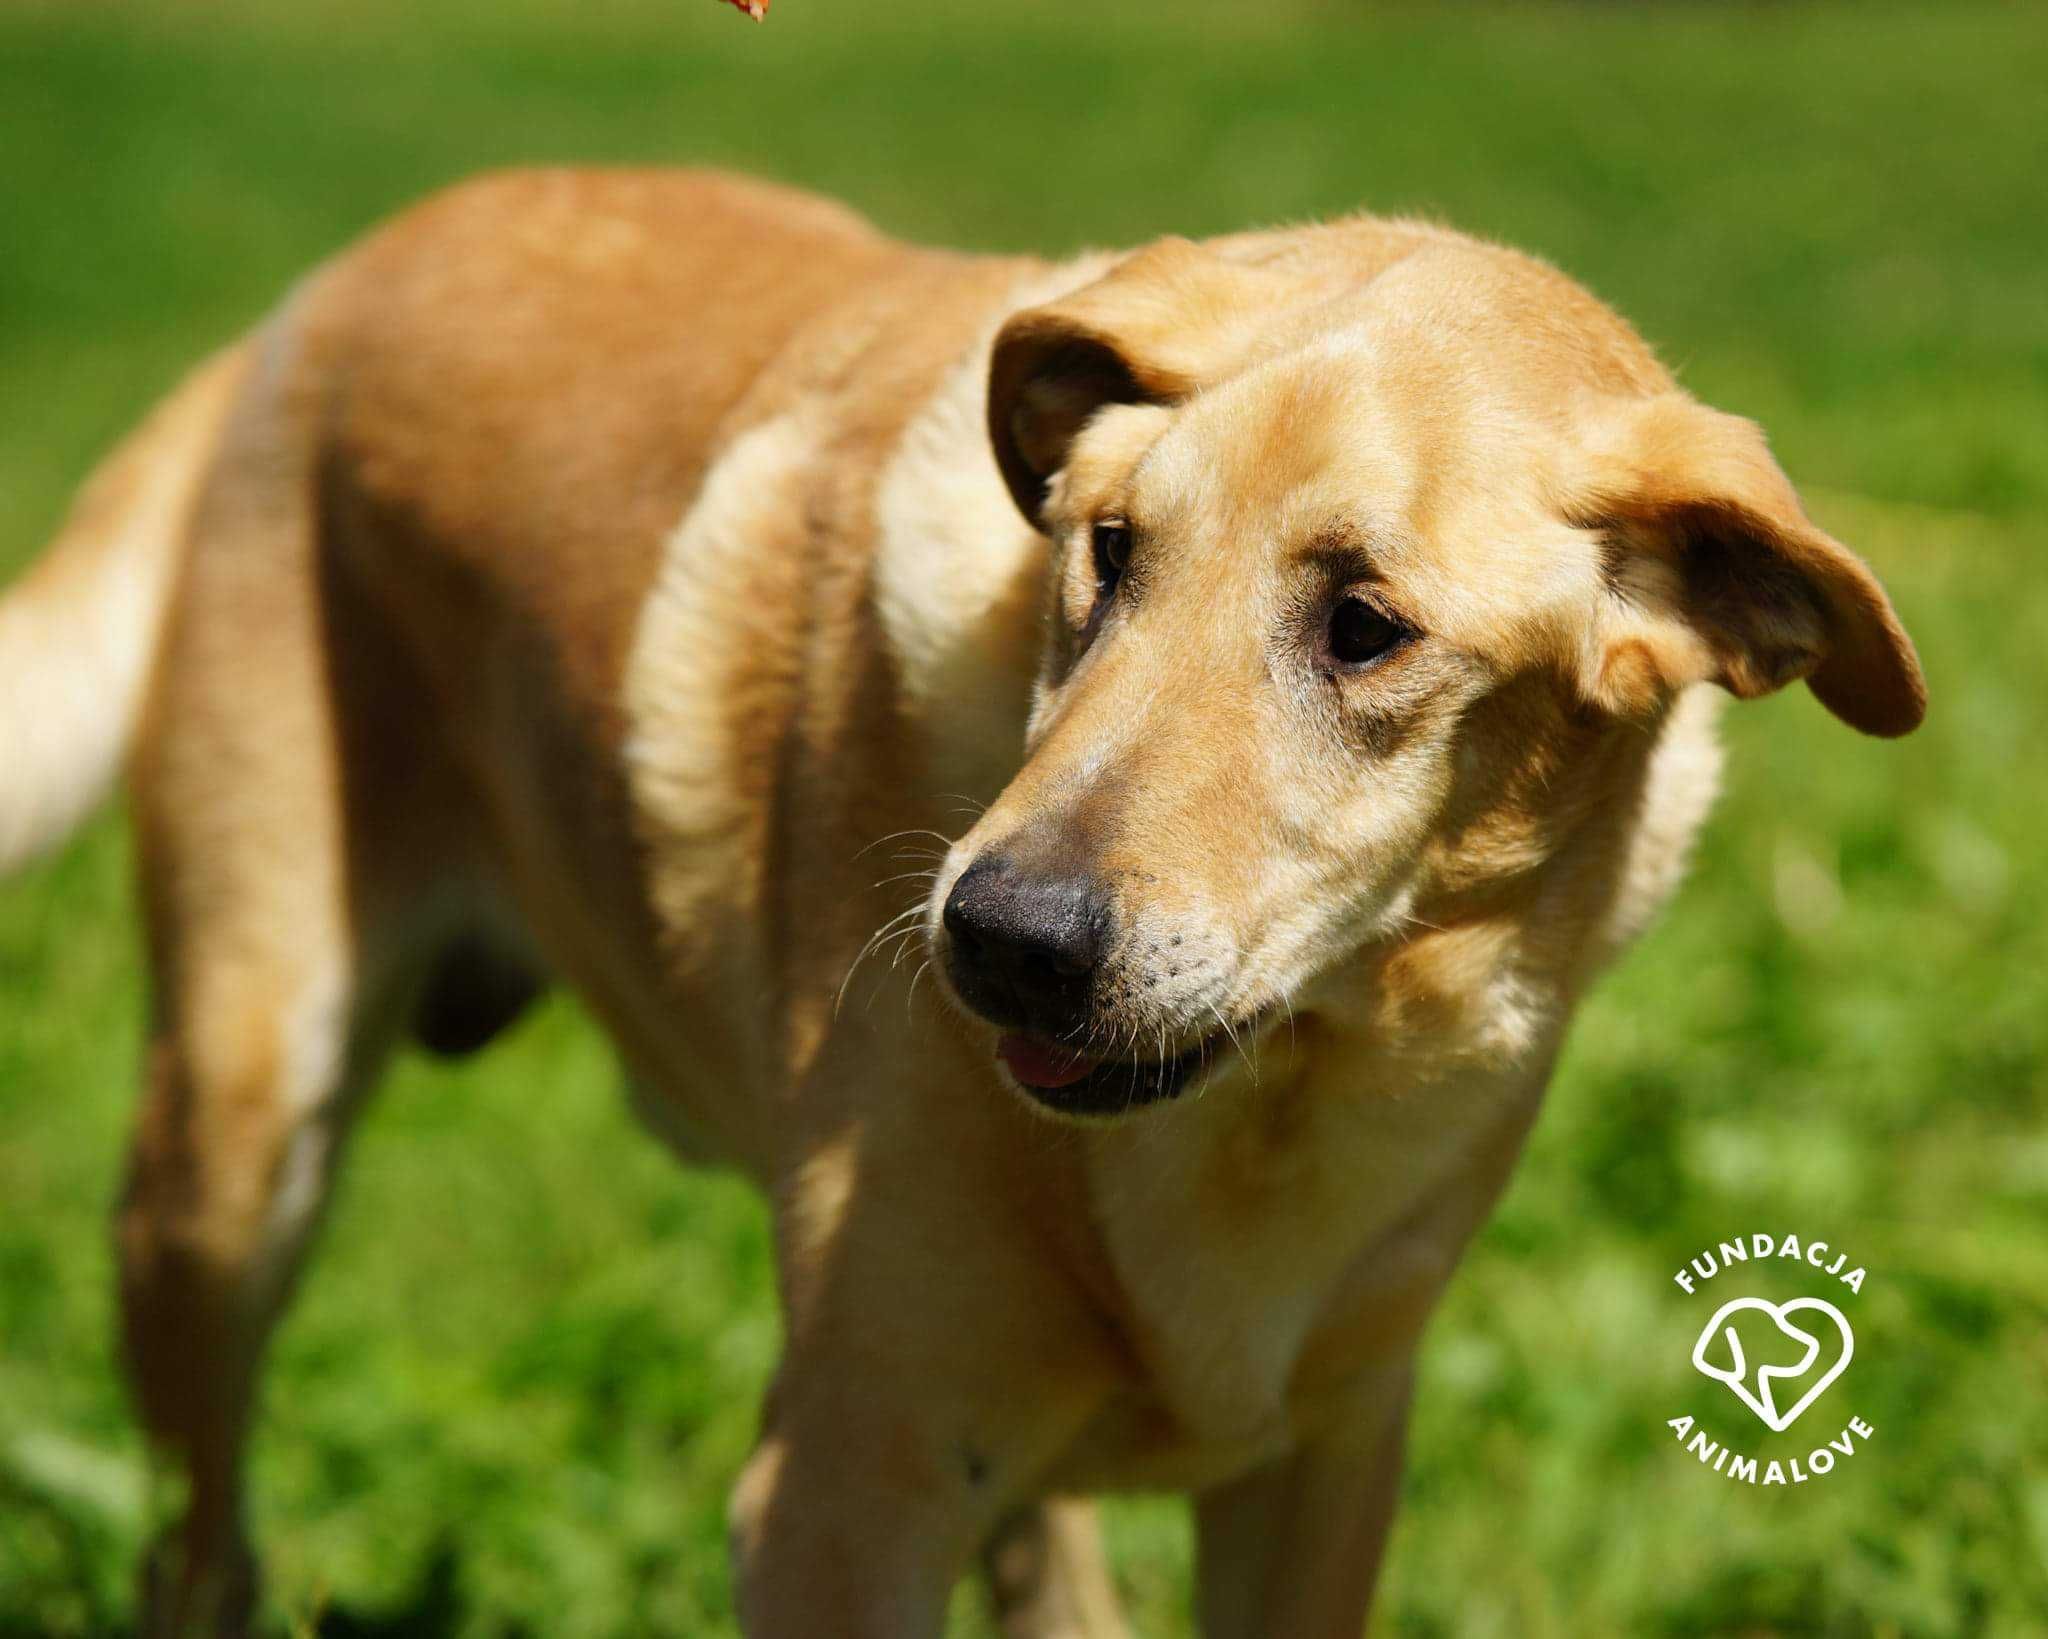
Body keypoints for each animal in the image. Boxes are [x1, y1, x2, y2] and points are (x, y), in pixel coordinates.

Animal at [0, 173, 1916, 1630]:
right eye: (1106, 549)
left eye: (1364, 625)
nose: (1002, 942)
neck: (1283, 1096)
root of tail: (307, 301)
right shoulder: (838, 1494)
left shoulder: (1328, 1460)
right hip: (232, 1144)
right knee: (196, 1539)